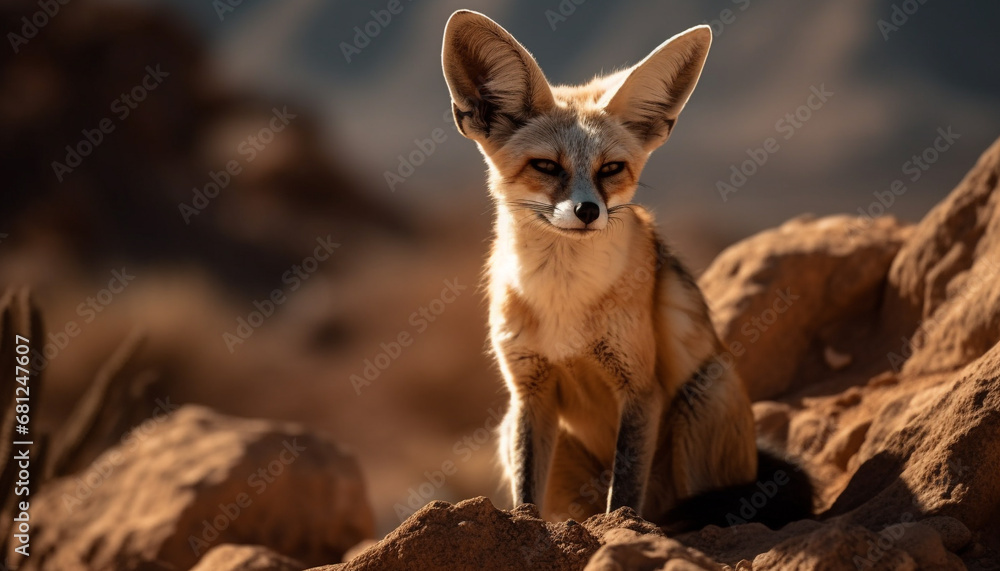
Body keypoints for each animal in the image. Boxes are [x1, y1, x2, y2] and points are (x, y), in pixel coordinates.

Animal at [444, 10, 812, 528]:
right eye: (546, 166)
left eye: (611, 169)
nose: (588, 211)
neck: (564, 300)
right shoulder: (529, 391)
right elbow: (527, 496)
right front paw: (527, 526)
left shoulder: (640, 388)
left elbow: (623, 492)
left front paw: (621, 529)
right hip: (512, 428)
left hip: (704, 395)